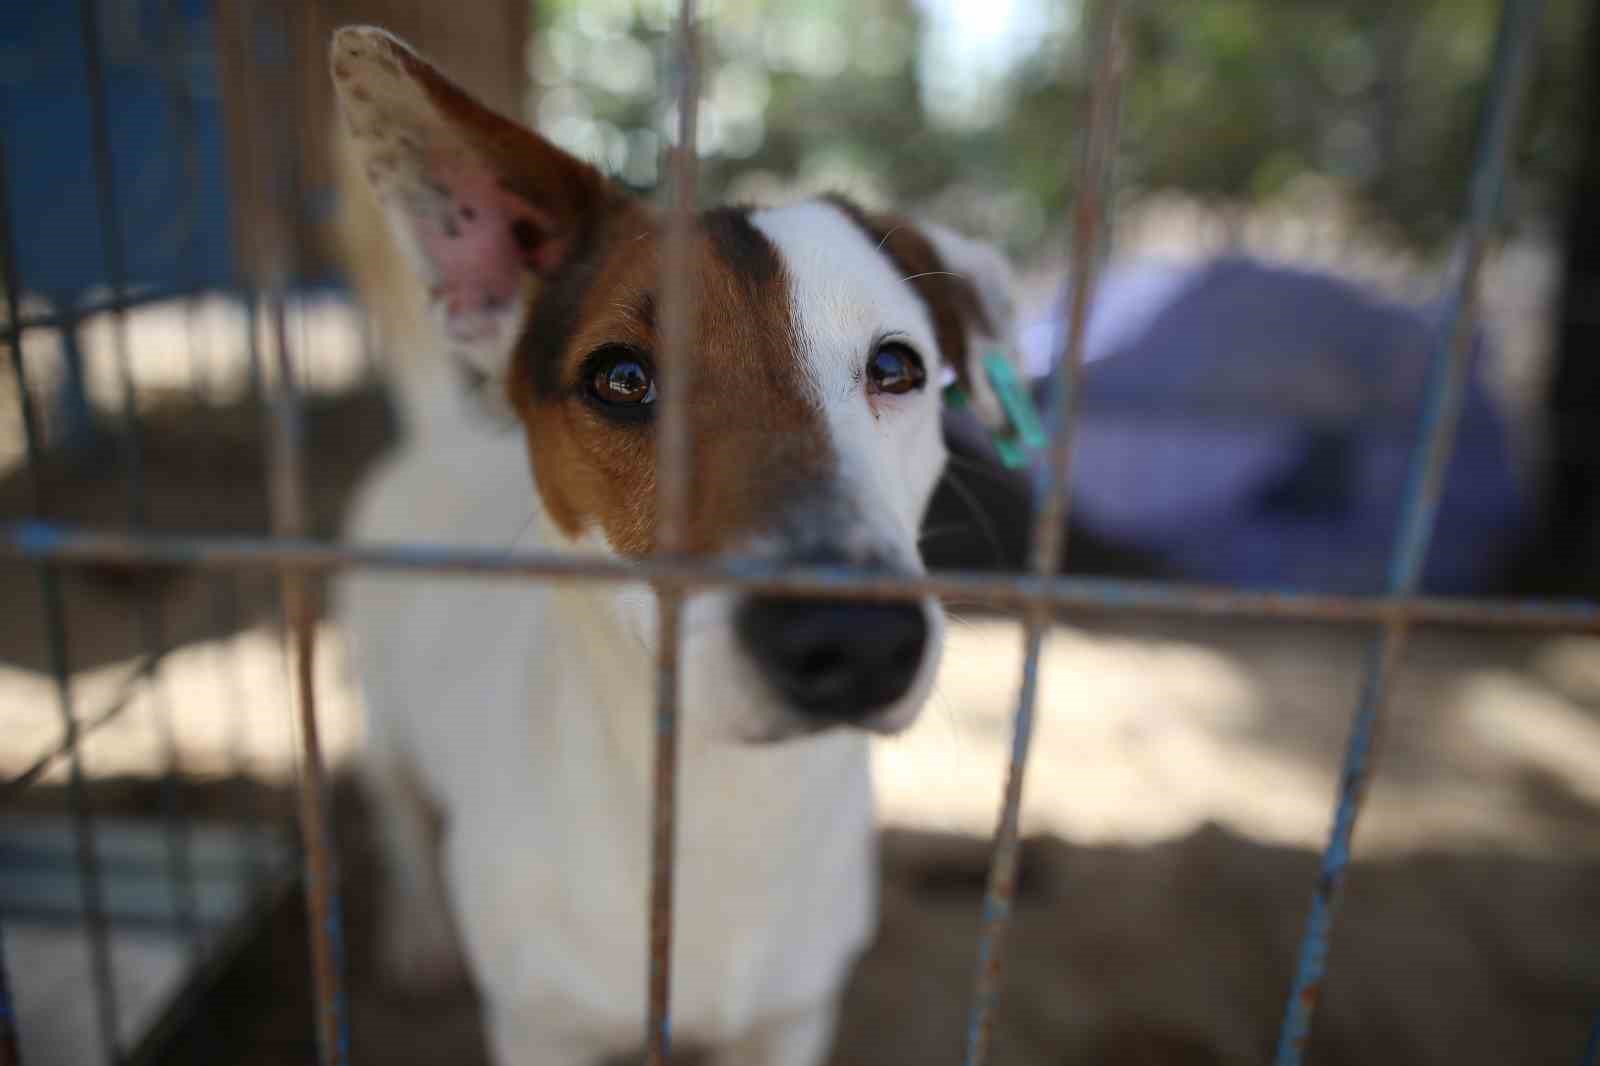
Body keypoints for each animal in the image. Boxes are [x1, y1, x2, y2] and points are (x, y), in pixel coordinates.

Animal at [331, 29, 1017, 1062]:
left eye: (897, 367)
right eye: (620, 379)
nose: (855, 640)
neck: (721, 810)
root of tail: (440, 432)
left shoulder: (792, 1018)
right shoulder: (542, 1025)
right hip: (384, 712)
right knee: (401, 820)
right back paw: (417, 934)